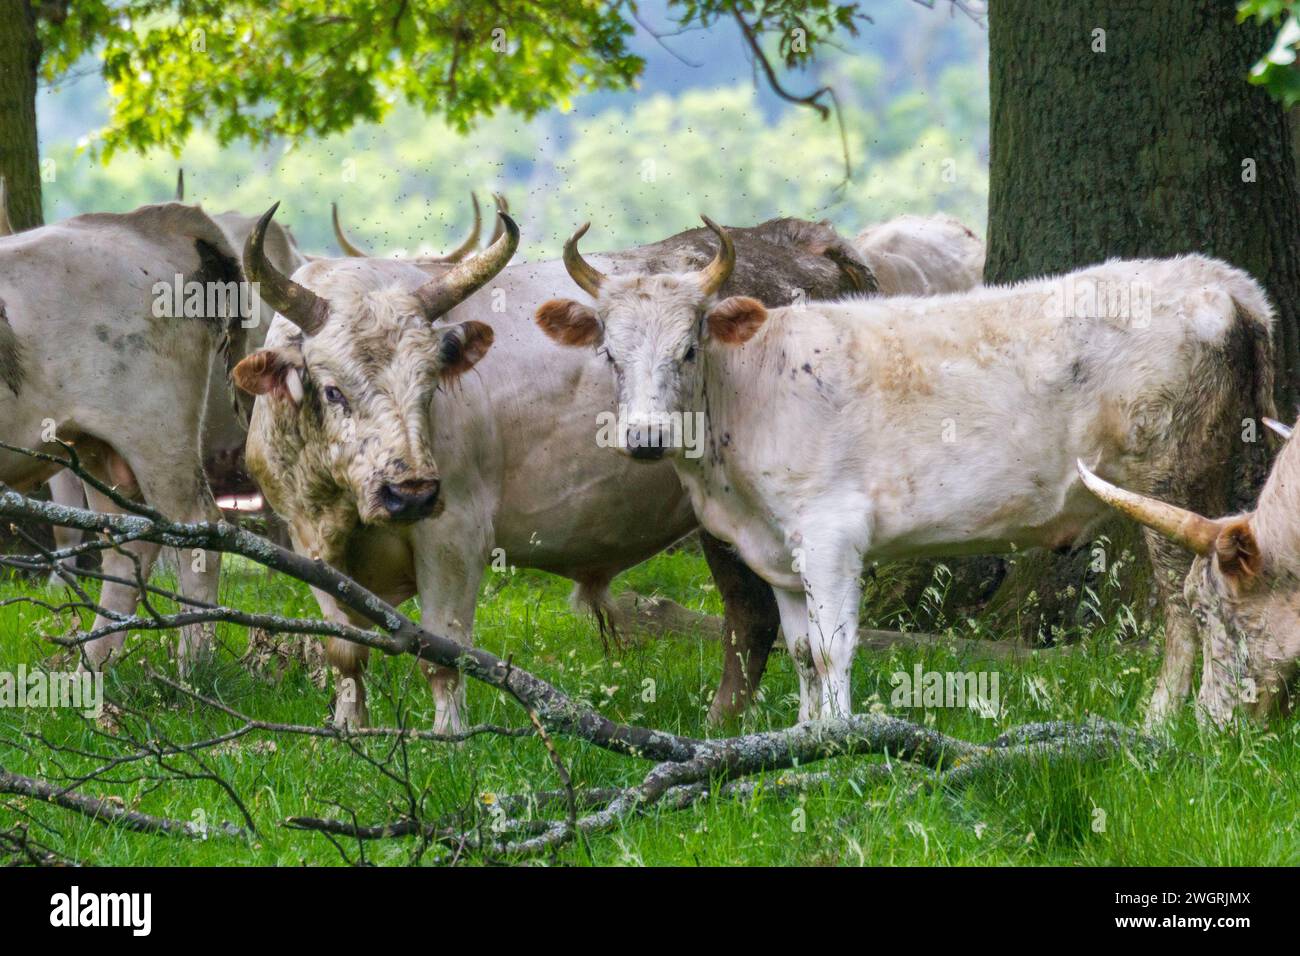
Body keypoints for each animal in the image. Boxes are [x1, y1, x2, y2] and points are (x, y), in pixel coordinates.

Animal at [0, 200, 243, 669]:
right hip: (100, 448)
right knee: (128, 548)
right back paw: (93, 666)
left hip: (156, 431)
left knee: (198, 532)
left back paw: (192, 663)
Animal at [235, 207, 876, 731]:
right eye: (333, 390)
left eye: (431, 383)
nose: (410, 492)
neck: (340, 499)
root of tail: (805, 241)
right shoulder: (308, 541)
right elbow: (345, 651)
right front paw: (350, 728)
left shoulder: (454, 536)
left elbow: (442, 648)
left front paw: (449, 736)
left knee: (751, 617)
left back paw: (722, 724)